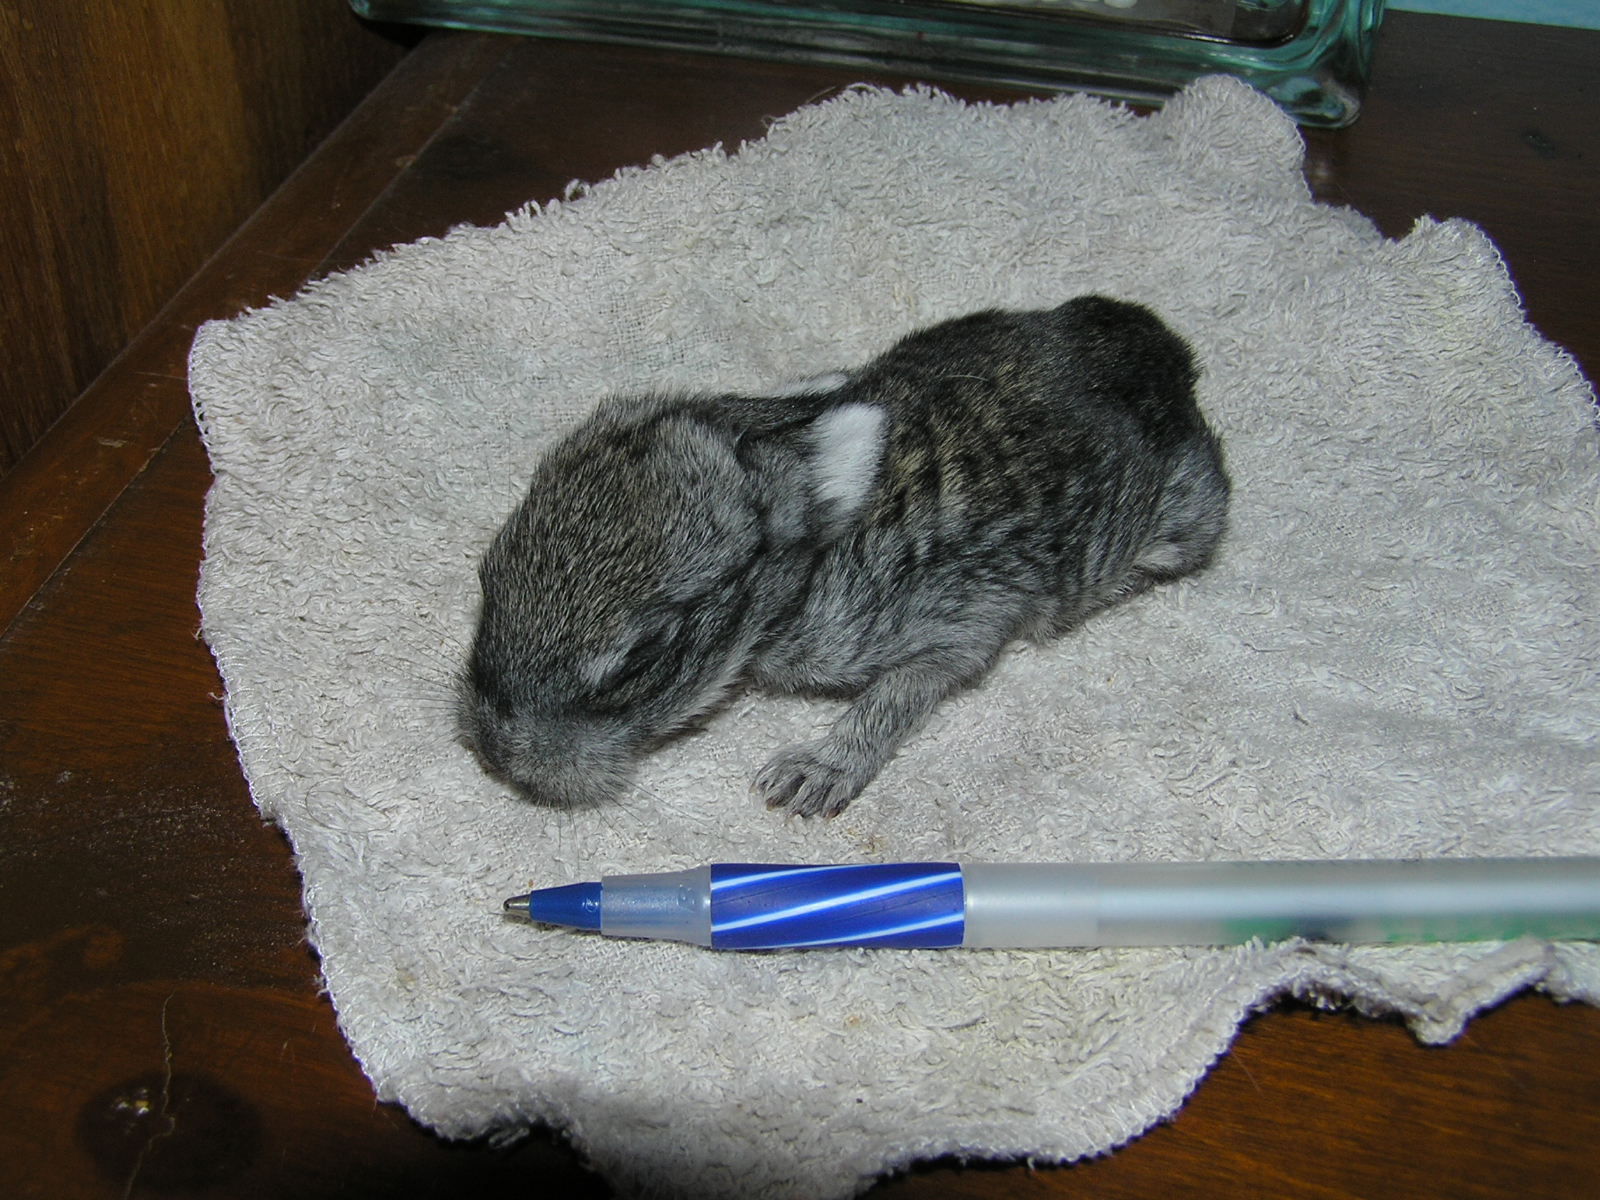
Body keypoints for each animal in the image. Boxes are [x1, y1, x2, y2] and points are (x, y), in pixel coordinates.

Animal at [459, 295, 1231, 818]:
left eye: (643, 656)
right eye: (486, 575)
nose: (495, 752)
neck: (807, 570)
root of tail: (1170, 356)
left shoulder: (966, 622)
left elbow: (895, 698)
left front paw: (812, 774)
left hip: (1177, 527)